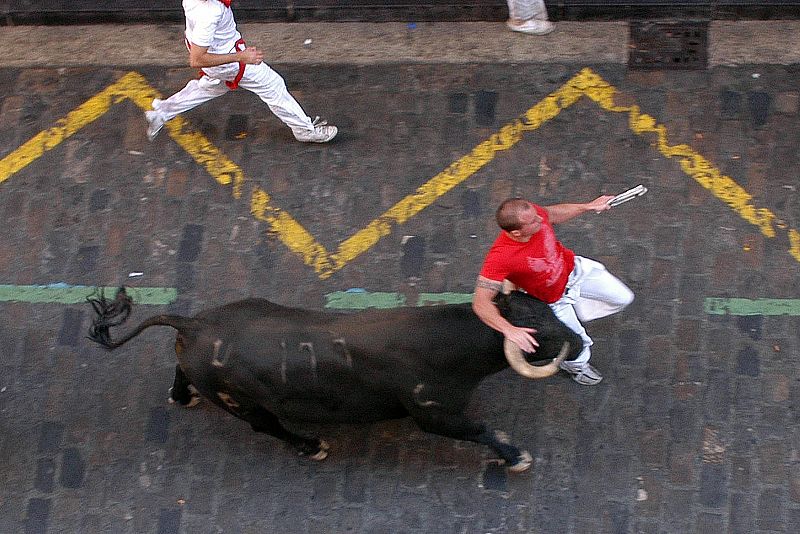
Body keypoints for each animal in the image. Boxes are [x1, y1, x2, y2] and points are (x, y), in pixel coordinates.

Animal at [87, 288, 580, 474]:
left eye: (547, 307)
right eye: (536, 328)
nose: (578, 340)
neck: (446, 342)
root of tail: (193, 324)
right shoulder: (432, 413)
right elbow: (480, 430)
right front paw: (516, 456)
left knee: (179, 372)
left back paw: (181, 396)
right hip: (242, 403)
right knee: (266, 425)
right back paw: (312, 445)